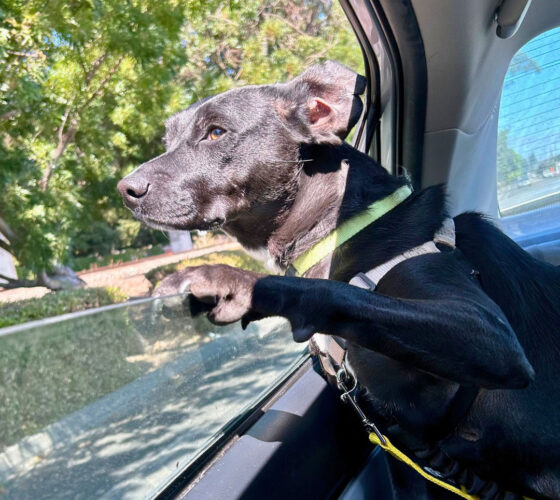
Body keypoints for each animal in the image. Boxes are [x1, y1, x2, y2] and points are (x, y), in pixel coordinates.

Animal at [118, 60, 560, 498]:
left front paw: (228, 282)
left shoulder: (488, 335)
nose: (126, 189)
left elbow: (334, 292)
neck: (346, 226)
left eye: (215, 132)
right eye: (167, 139)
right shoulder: (406, 440)